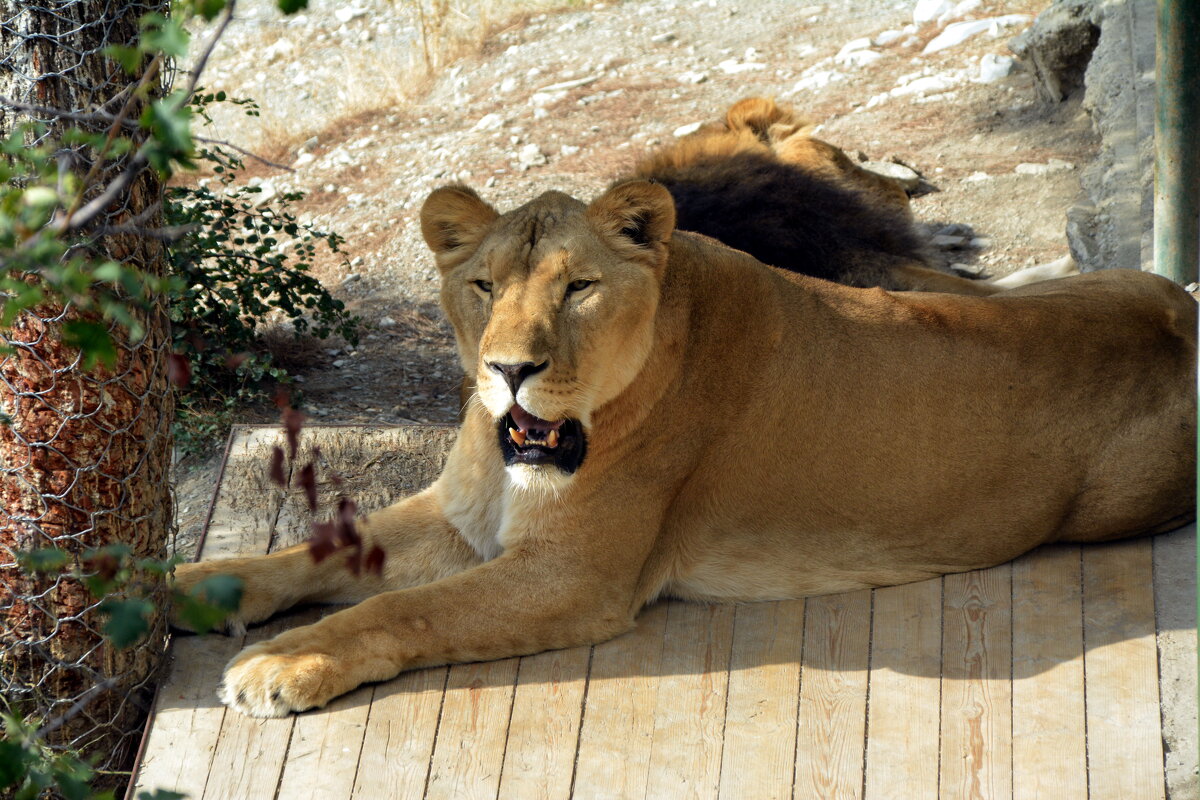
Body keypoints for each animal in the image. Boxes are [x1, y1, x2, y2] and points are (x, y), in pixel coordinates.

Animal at [174, 181, 1195, 719]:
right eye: (483, 284)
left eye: (579, 288)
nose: (510, 368)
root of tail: (1179, 319)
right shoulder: (461, 521)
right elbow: (310, 552)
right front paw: (188, 586)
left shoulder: (574, 577)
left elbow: (406, 610)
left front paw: (281, 664)